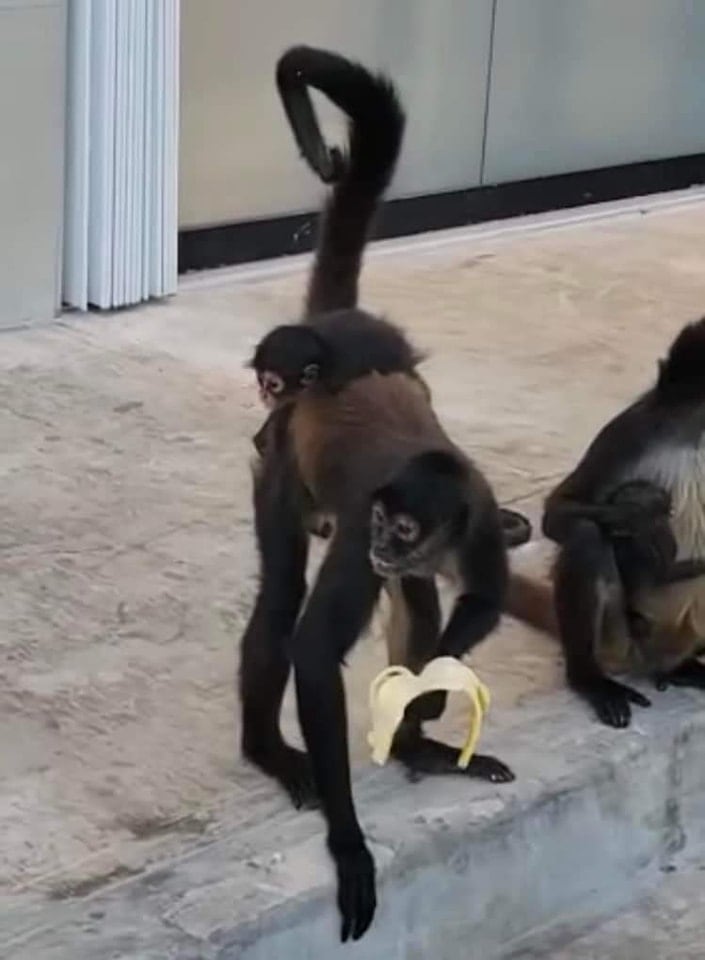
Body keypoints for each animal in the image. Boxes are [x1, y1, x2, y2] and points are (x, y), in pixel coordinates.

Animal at [240, 45, 520, 943]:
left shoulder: (474, 515)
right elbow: (309, 652)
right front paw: (349, 841)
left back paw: (414, 742)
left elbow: (477, 604)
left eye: (406, 529)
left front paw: (421, 709)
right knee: (281, 594)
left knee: (421, 600)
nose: (383, 546)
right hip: (284, 472)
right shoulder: (362, 518)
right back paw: (268, 750)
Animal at [505, 317, 705, 729]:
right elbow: (557, 512)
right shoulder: (636, 424)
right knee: (585, 535)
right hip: (619, 640)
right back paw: (589, 679)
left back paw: (681, 669)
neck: (696, 430)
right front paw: (641, 521)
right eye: (671, 396)